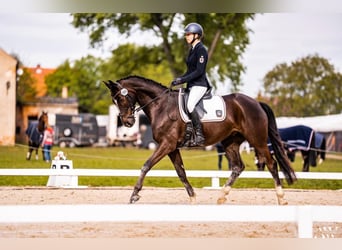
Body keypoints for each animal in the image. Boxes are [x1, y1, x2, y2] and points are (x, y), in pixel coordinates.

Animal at [103, 76, 296, 205]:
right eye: (114, 100)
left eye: (120, 98)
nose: (128, 122)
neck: (161, 106)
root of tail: (256, 102)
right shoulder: (172, 148)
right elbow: (181, 172)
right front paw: (193, 197)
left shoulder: (167, 145)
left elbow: (146, 165)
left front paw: (134, 195)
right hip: (230, 142)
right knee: (237, 167)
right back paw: (221, 197)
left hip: (257, 140)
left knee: (271, 164)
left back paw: (281, 198)